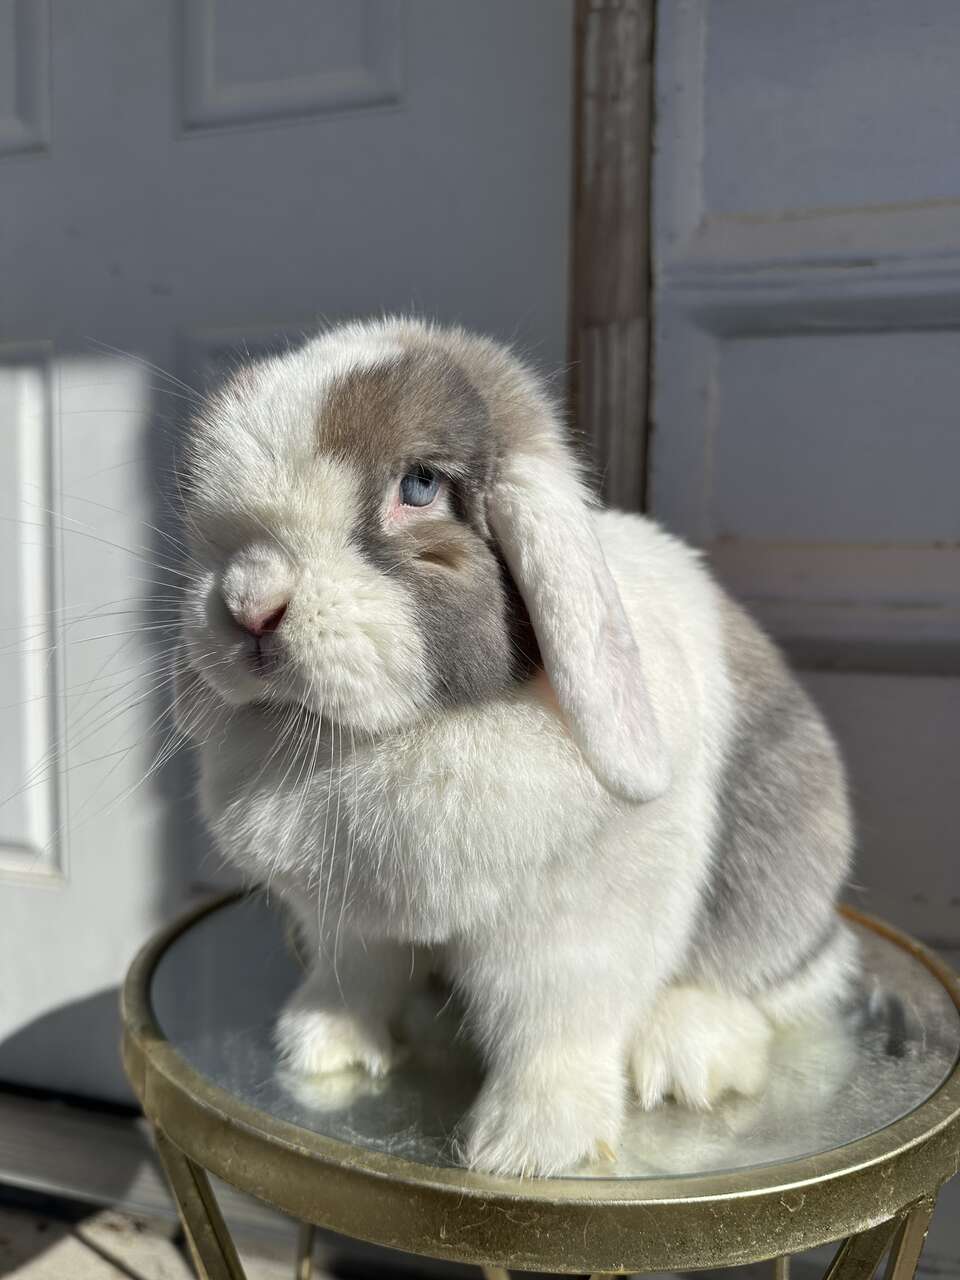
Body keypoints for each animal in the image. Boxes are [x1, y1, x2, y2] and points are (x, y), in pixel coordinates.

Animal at [176, 314, 860, 1172]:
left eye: (420, 487)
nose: (249, 607)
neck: (386, 735)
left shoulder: (573, 937)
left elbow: (554, 1034)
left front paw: (531, 1147)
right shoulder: (348, 918)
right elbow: (355, 978)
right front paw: (322, 1047)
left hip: (782, 859)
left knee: (773, 976)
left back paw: (690, 1056)